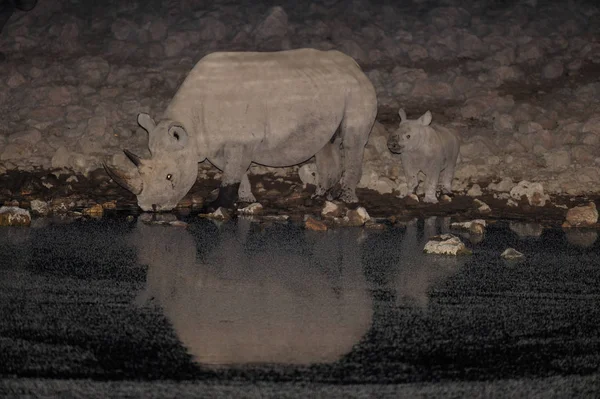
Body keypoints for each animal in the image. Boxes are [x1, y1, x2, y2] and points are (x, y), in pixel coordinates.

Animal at [102, 48, 376, 212]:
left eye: (170, 177)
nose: (149, 208)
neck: (190, 129)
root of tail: (356, 66)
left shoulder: (243, 140)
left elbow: (231, 174)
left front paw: (214, 208)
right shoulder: (213, 144)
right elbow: (234, 172)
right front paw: (245, 200)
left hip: (357, 90)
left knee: (352, 141)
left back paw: (346, 198)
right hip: (327, 89)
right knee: (326, 143)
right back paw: (320, 197)